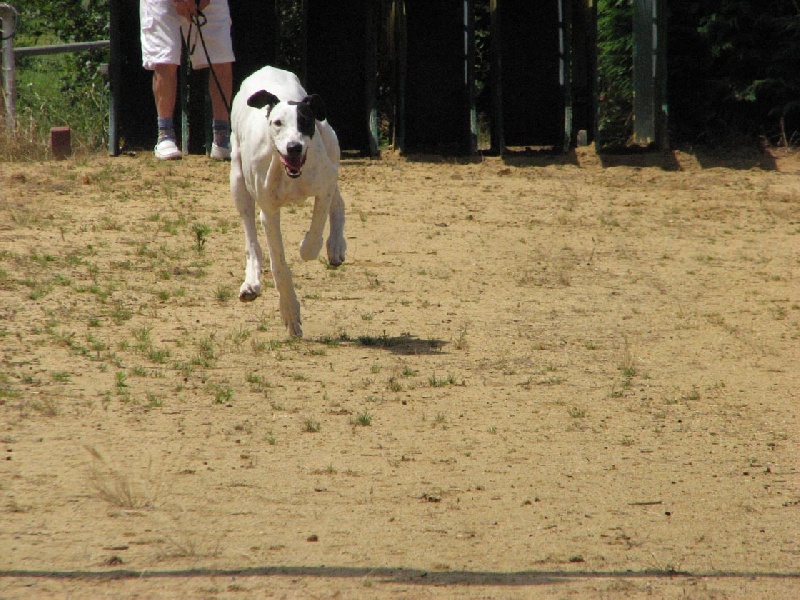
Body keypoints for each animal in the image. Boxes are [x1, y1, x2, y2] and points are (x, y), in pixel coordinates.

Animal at [230, 67, 346, 338]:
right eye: (278, 123)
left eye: (304, 121)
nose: (294, 147)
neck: (289, 173)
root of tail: (267, 69)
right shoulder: (269, 213)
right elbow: (279, 266)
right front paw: (290, 312)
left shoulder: (323, 186)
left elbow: (316, 230)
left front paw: (308, 247)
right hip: (238, 181)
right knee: (251, 240)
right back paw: (252, 282)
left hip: (331, 146)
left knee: (338, 201)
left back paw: (336, 245)